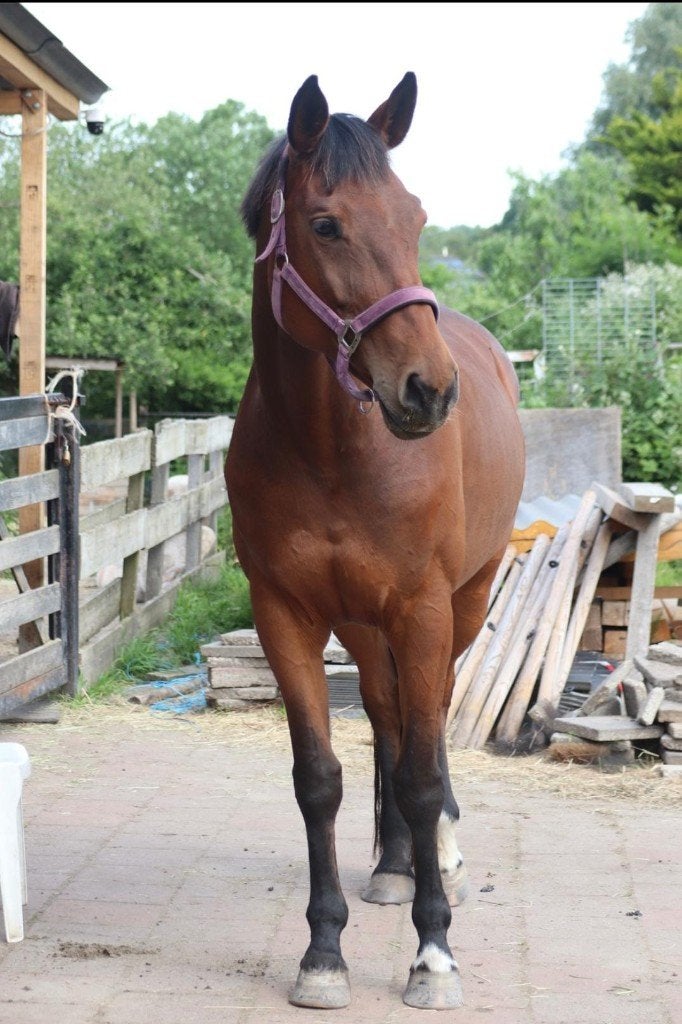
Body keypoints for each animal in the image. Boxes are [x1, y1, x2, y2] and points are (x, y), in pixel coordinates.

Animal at [225, 72, 525, 1010]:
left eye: (417, 217)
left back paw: (441, 860)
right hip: (363, 625)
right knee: (391, 720)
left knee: (430, 726)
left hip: (462, 605)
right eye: (325, 225)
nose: (428, 390)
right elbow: (320, 779)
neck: (333, 452)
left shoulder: (424, 609)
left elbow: (426, 773)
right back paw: (394, 866)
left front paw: (434, 954)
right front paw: (324, 952)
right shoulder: (286, 615)